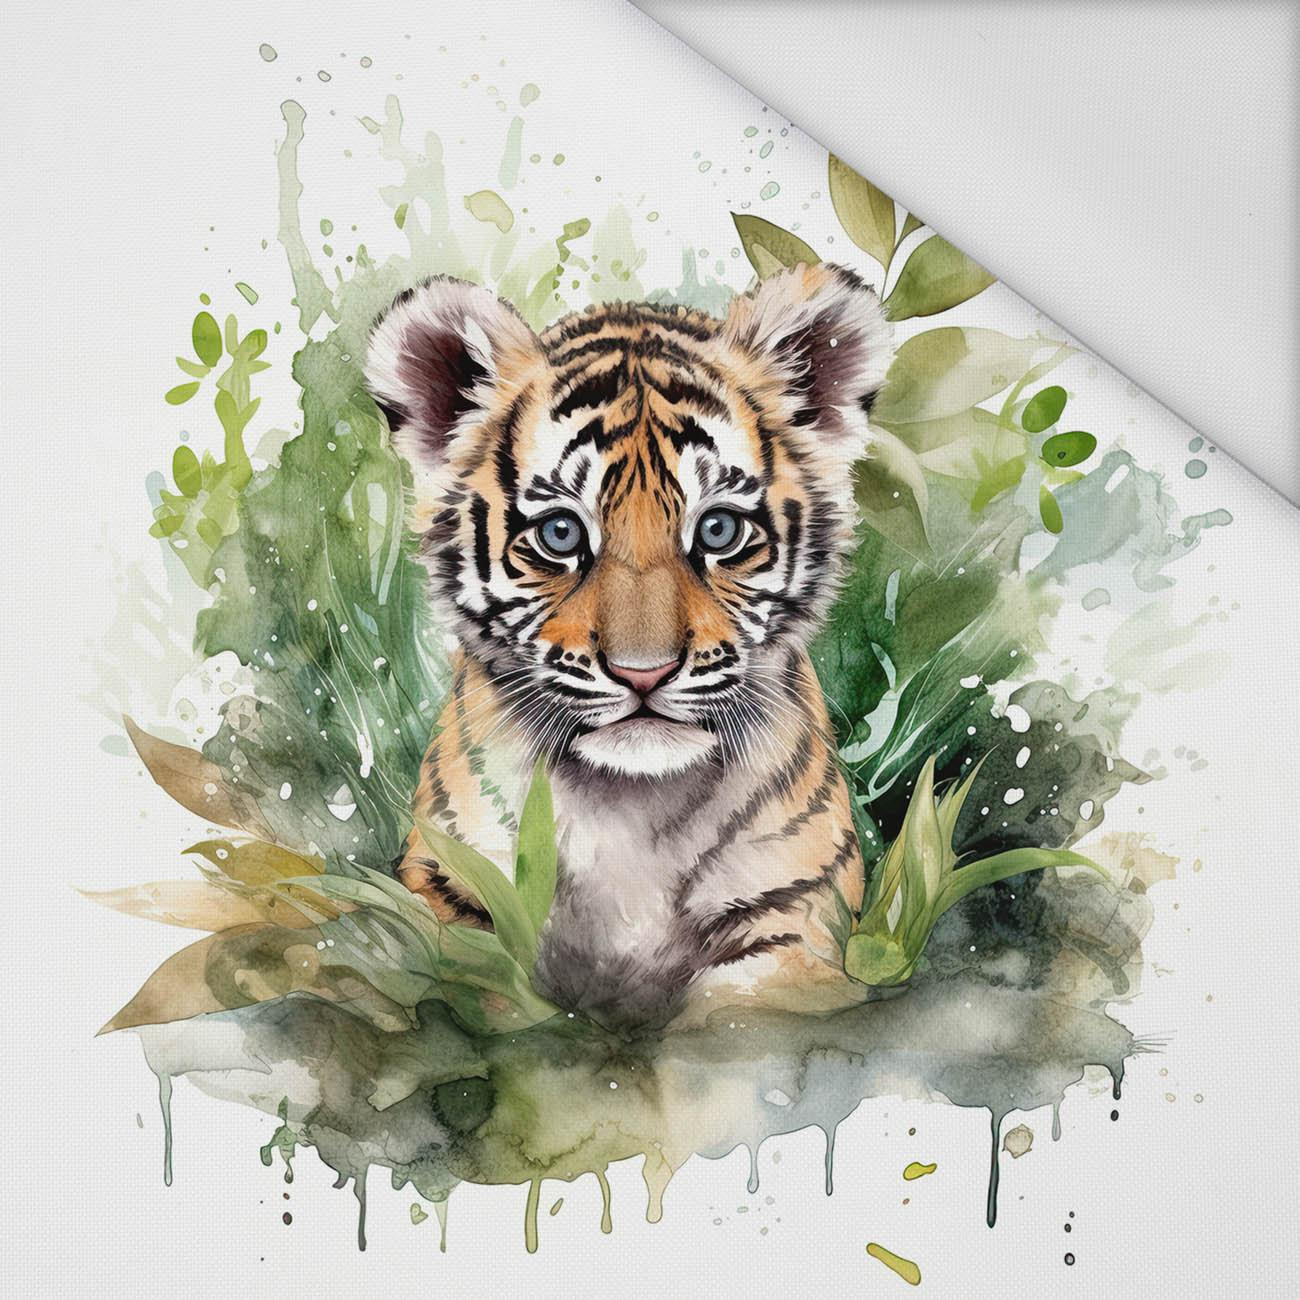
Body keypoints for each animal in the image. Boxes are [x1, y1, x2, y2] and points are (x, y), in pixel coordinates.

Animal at [363, 261, 894, 1026]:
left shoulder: (792, 917)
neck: (632, 808)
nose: (644, 674)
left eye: (719, 530)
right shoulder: (452, 890)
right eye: (560, 534)